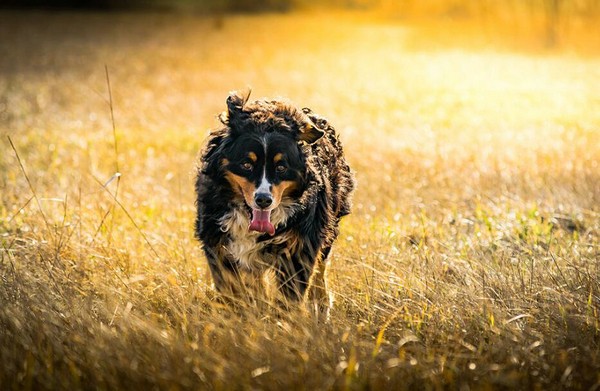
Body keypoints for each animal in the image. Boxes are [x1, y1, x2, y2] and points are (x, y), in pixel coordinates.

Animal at [195, 90, 354, 314]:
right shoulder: (216, 241)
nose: (263, 200)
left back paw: (320, 305)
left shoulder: (299, 246)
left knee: (320, 269)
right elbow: (232, 288)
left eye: (281, 167)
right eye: (247, 164)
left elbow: (289, 296)